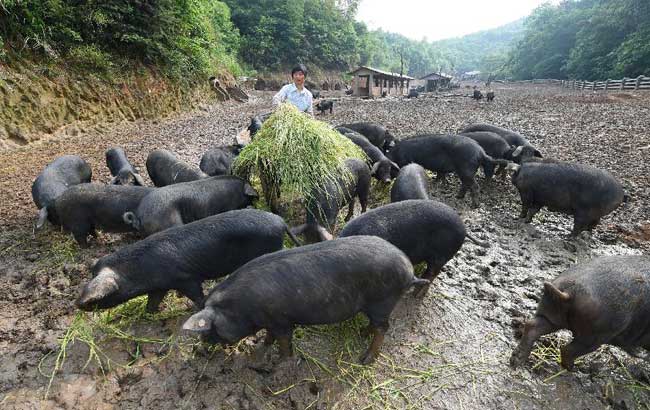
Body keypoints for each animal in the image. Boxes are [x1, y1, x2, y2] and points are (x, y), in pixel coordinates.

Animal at [76, 210, 298, 312]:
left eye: (99, 297)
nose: (78, 303)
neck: (139, 270)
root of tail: (281, 222)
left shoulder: (185, 277)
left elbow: (197, 295)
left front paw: (196, 306)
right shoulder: (159, 285)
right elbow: (153, 300)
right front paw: (151, 311)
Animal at [182, 235, 426, 364]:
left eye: (212, 328)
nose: (201, 345)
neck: (241, 308)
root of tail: (409, 270)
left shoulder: (281, 321)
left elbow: (283, 341)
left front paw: (280, 361)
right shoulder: (271, 321)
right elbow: (269, 336)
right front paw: (262, 347)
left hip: (383, 301)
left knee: (384, 327)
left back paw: (365, 359)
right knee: (375, 326)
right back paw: (361, 333)